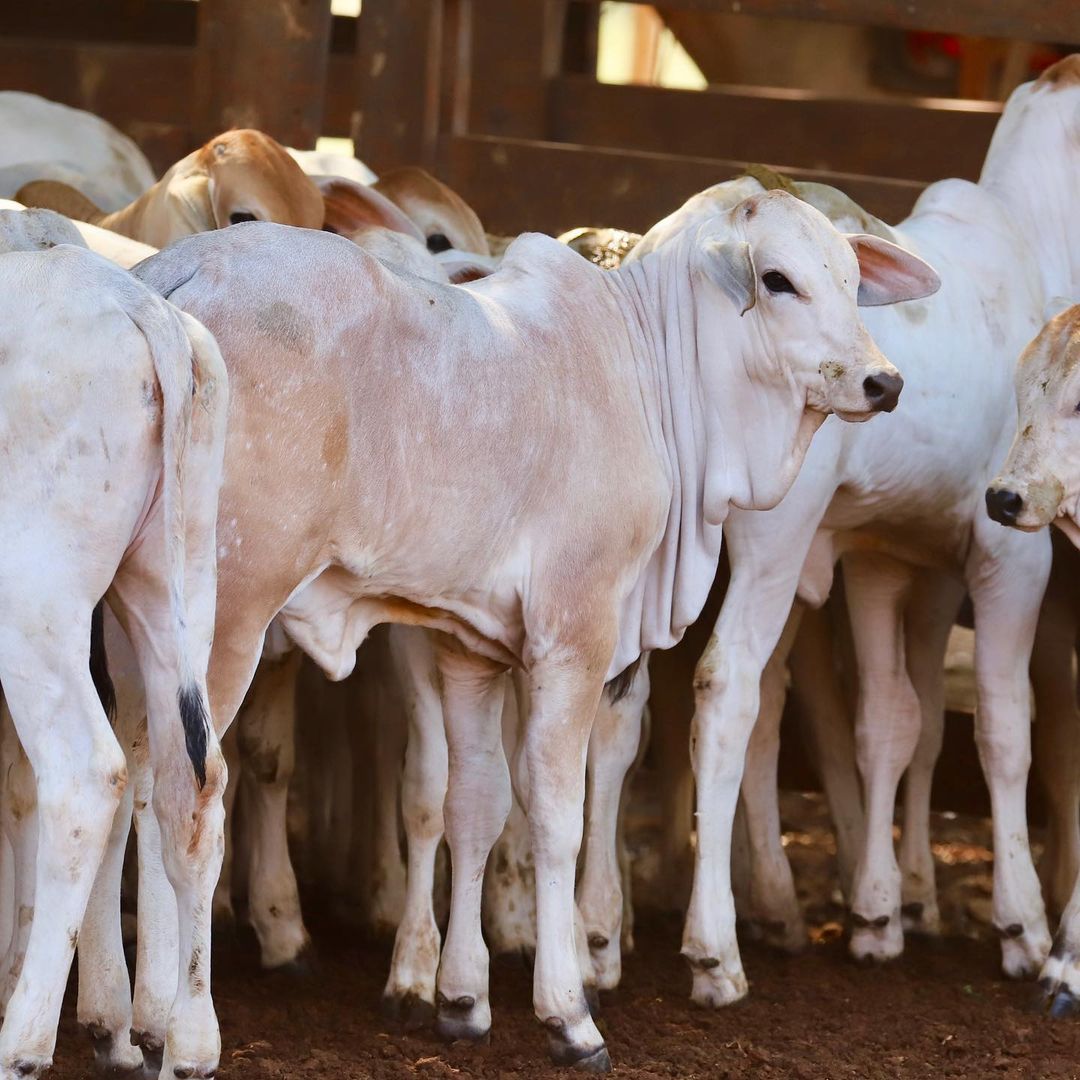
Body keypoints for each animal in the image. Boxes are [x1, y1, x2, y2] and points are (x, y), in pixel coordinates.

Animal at [126, 187, 933, 1071]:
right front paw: (568, 1012)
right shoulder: (574, 637)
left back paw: (144, 1022)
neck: (644, 366)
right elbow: (554, 815)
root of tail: (174, 277)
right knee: (190, 799)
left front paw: (463, 1000)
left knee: (141, 785)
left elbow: (474, 805)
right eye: (779, 280)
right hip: (227, 611)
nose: (884, 380)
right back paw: (189, 1035)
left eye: (853, 279)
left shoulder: (469, 650)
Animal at [639, 56, 1080, 1010]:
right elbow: (1005, 730)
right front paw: (1023, 927)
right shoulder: (1013, 555)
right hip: (770, 542)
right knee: (726, 690)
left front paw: (882, 913)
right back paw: (712, 948)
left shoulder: (882, 562)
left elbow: (891, 719)